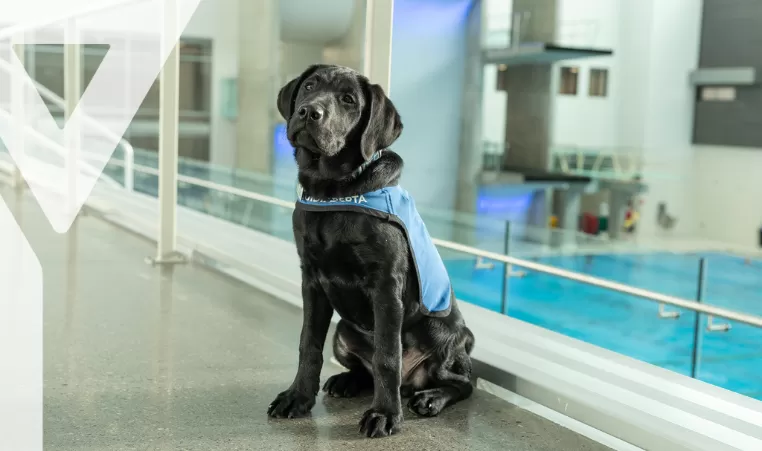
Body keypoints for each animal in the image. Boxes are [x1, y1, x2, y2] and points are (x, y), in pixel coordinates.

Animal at [264, 64, 472, 438]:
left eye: (349, 100)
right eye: (310, 86)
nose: (309, 112)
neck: (332, 191)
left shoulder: (386, 285)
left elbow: (387, 356)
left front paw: (385, 414)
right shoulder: (311, 281)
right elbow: (308, 344)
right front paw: (298, 397)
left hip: (439, 332)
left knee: (462, 382)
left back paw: (430, 397)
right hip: (343, 332)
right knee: (365, 370)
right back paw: (347, 381)